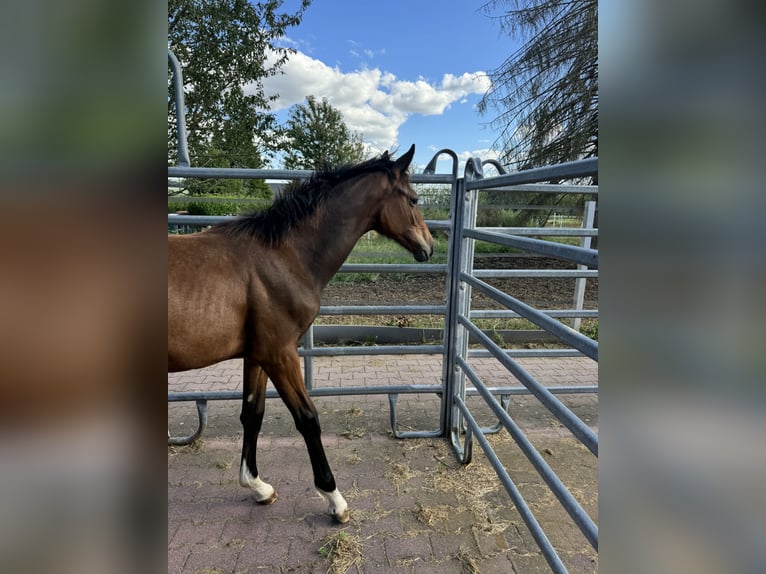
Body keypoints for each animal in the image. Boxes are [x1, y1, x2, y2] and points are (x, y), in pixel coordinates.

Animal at [168, 146, 432, 524]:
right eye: (413, 199)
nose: (428, 246)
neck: (281, 257)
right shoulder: (281, 354)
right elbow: (308, 419)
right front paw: (334, 499)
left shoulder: (258, 355)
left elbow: (252, 414)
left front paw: (258, 486)